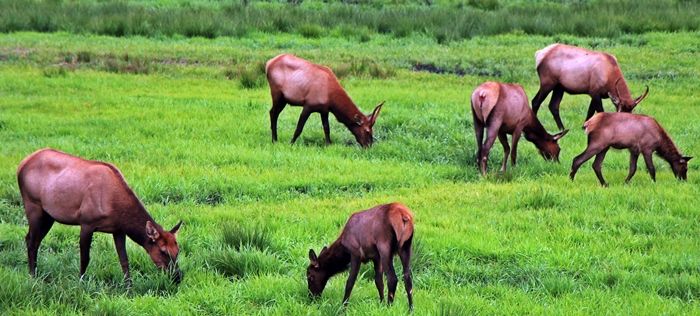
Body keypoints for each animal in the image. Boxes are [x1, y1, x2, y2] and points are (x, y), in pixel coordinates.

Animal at [17, 148, 185, 284]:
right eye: (163, 251)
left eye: (178, 250)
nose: (177, 277)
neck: (117, 210)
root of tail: (21, 165)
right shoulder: (86, 223)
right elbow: (85, 258)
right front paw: (81, 282)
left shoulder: (118, 230)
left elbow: (124, 260)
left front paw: (129, 287)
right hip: (33, 205)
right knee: (32, 241)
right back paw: (32, 276)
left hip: (48, 215)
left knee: (31, 239)